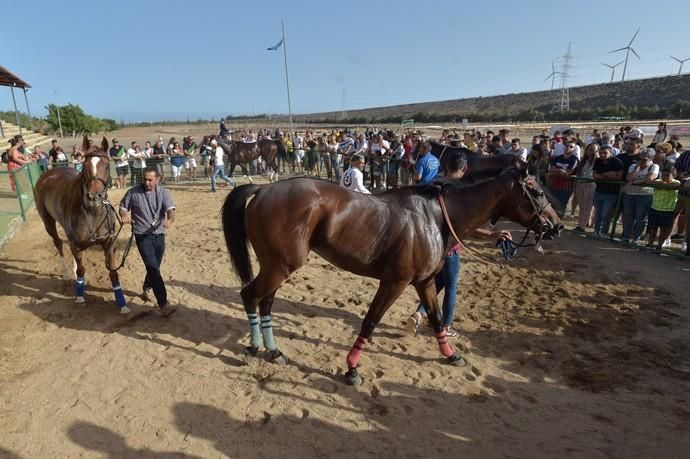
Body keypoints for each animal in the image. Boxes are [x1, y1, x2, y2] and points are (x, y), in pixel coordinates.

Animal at [34, 137, 132, 314]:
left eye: (106, 166)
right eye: (85, 166)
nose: (94, 197)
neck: (93, 213)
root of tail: (48, 174)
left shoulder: (109, 244)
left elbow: (113, 273)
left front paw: (122, 304)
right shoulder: (77, 244)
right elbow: (81, 270)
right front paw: (79, 296)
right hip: (48, 222)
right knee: (58, 243)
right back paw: (67, 274)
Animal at [223, 164, 560, 386]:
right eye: (537, 191)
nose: (556, 226)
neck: (434, 217)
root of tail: (264, 189)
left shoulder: (424, 282)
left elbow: (437, 318)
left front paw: (451, 355)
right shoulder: (395, 282)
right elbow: (371, 321)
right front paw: (352, 369)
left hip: (276, 267)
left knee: (265, 302)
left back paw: (273, 351)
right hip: (279, 267)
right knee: (249, 295)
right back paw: (253, 348)